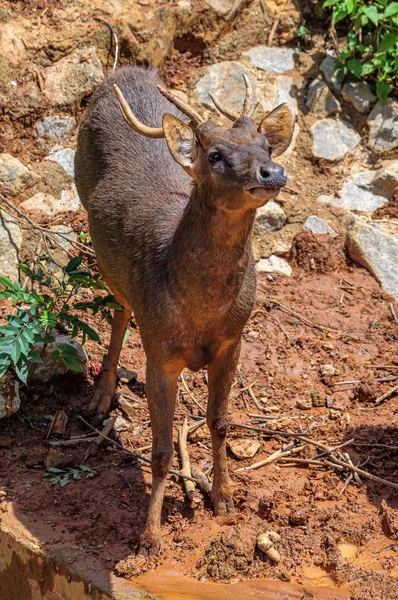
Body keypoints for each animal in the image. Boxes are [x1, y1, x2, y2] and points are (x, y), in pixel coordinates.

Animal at [74, 64, 296, 552]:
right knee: (118, 313)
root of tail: (125, 69)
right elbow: (158, 451)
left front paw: (224, 499)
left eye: (266, 145)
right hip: (102, 249)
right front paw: (149, 536)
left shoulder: (234, 341)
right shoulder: (160, 351)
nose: (272, 171)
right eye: (214, 154)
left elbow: (220, 422)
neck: (201, 311)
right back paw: (101, 397)